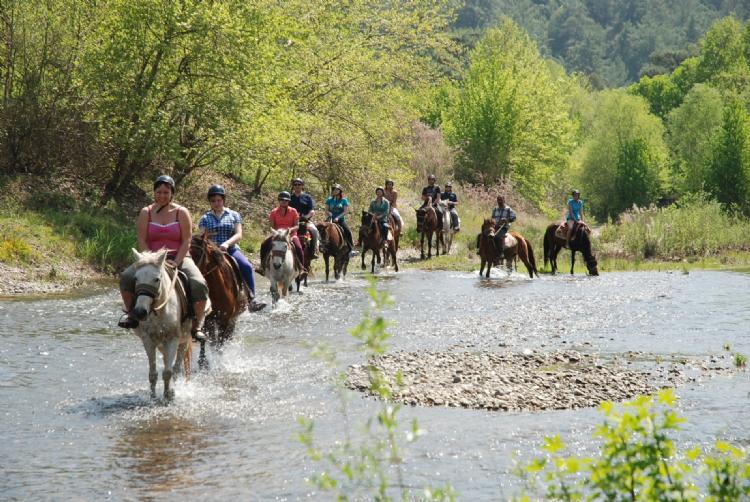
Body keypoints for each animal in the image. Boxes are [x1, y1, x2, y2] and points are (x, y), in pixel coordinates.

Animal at [132, 249, 197, 402]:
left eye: (156, 279)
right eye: (136, 278)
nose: (140, 312)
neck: (159, 311)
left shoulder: (172, 339)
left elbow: (168, 371)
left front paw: (168, 395)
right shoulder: (148, 340)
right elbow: (152, 373)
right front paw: (153, 397)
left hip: (184, 340)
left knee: (177, 367)